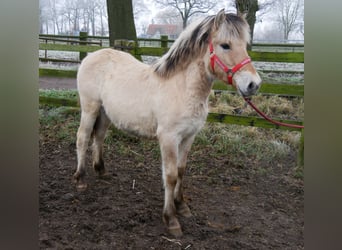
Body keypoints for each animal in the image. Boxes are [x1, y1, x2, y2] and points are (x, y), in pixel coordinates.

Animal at [73, 9, 262, 236]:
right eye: (225, 45)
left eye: (244, 44)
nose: (253, 84)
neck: (182, 87)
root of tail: (91, 56)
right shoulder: (169, 138)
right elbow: (170, 176)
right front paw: (171, 218)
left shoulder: (189, 137)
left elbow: (181, 171)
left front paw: (182, 206)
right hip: (90, 108)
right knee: (83, 138)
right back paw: (80, 179)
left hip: (105, 112)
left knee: (98, 137)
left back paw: (101, 171)